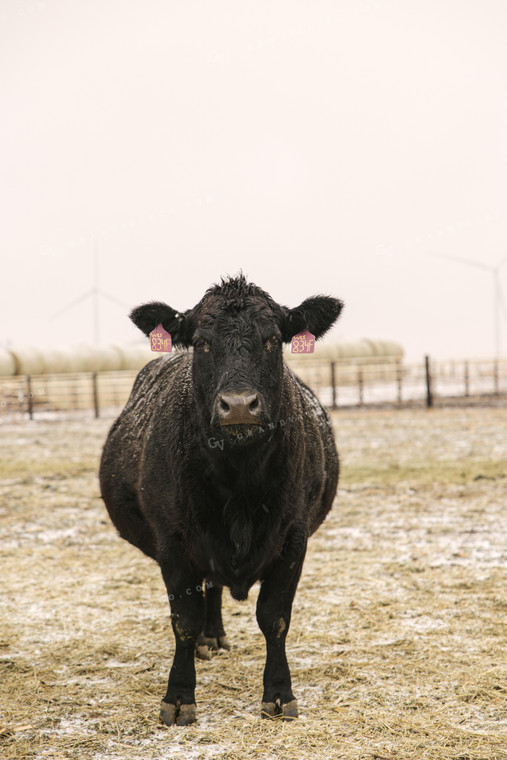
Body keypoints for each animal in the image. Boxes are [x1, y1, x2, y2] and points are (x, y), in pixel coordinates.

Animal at [99, 274, 344, 724]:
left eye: (273, 339)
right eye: (200, 341)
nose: (239, 406)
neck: (239, 478)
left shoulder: (294, 537)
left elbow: (274, 617)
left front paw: (279, 693)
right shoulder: (173, 542)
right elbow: (183, 620)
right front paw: (179, 697)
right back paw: (206, 640)